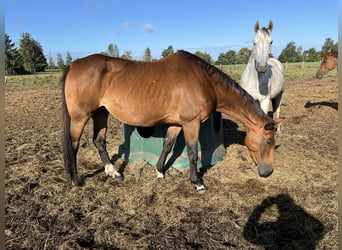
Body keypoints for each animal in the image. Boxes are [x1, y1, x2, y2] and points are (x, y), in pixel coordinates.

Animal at [62, 50, 282, 191]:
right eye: (268, 141)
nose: (268, 171)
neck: (205, 81)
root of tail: (73, 65)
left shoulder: (177, 124)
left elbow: (167, 145)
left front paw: (160, 171)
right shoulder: (191, 123)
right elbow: (193, 153)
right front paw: (198, 182)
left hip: (101, 113)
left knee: (99, 141)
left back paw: (114, 173)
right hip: (80, 117)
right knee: (73, 146)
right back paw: (75, 181)